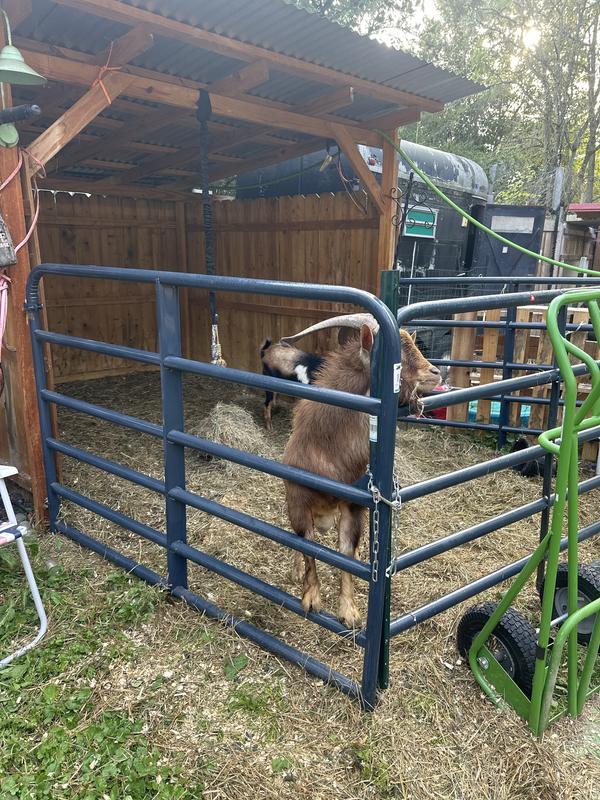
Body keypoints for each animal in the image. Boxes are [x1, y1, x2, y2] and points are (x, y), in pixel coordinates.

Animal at [282, 314, 441, 628]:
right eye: (396, 354)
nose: (436, 373)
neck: (328, 452)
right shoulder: (299, 502)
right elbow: (308, 546)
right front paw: (312, 599)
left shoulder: (353, 505)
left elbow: (347, 553)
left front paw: (350, 612)